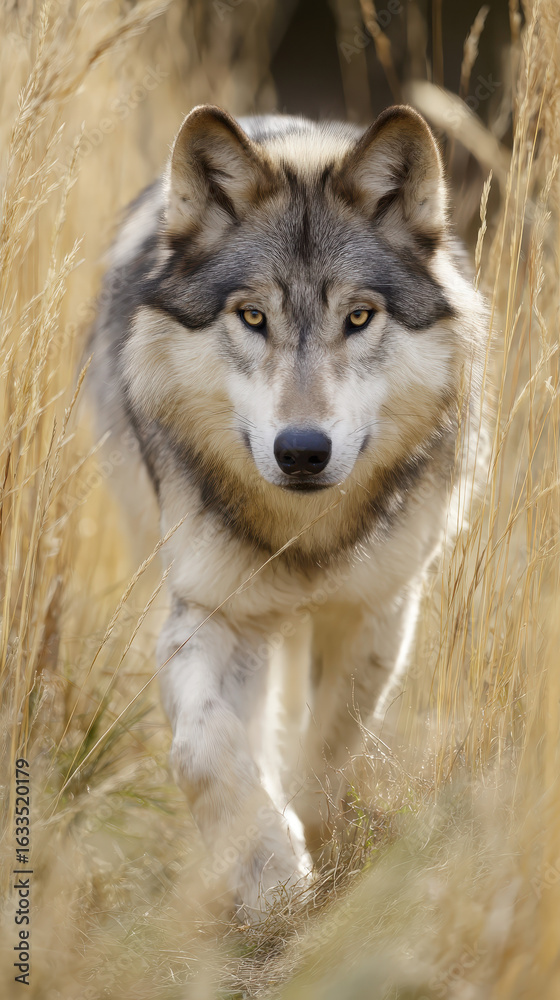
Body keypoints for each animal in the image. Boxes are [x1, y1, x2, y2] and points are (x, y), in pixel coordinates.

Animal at [89, 103, 486, 919]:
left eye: (359, 317)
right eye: (252, 316)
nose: (302, 451)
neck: (304, 541)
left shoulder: (376, 609)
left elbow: (331, 745)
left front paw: (317, 844)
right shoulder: (212, 610)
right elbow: (205, 746)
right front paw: (269, 874)